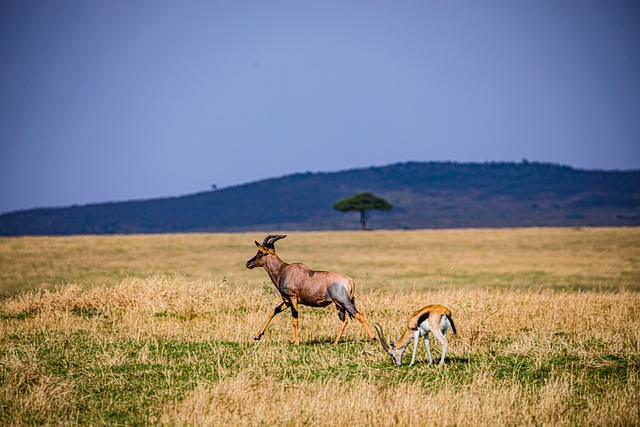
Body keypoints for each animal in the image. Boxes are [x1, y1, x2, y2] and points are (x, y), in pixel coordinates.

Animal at [244, 236, 376, 346]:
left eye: (260, 252)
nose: (248, 263)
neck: (283, 270)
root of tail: (350, 281)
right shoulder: (287, 301)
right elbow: (273, 311)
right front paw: (257, 336)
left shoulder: (292, 298)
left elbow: (295, 319)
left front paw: (296, 343)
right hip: (338, 304)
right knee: (344, 320)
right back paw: (334, 343)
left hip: (344, 301)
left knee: (359, 314)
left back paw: (373, 340)